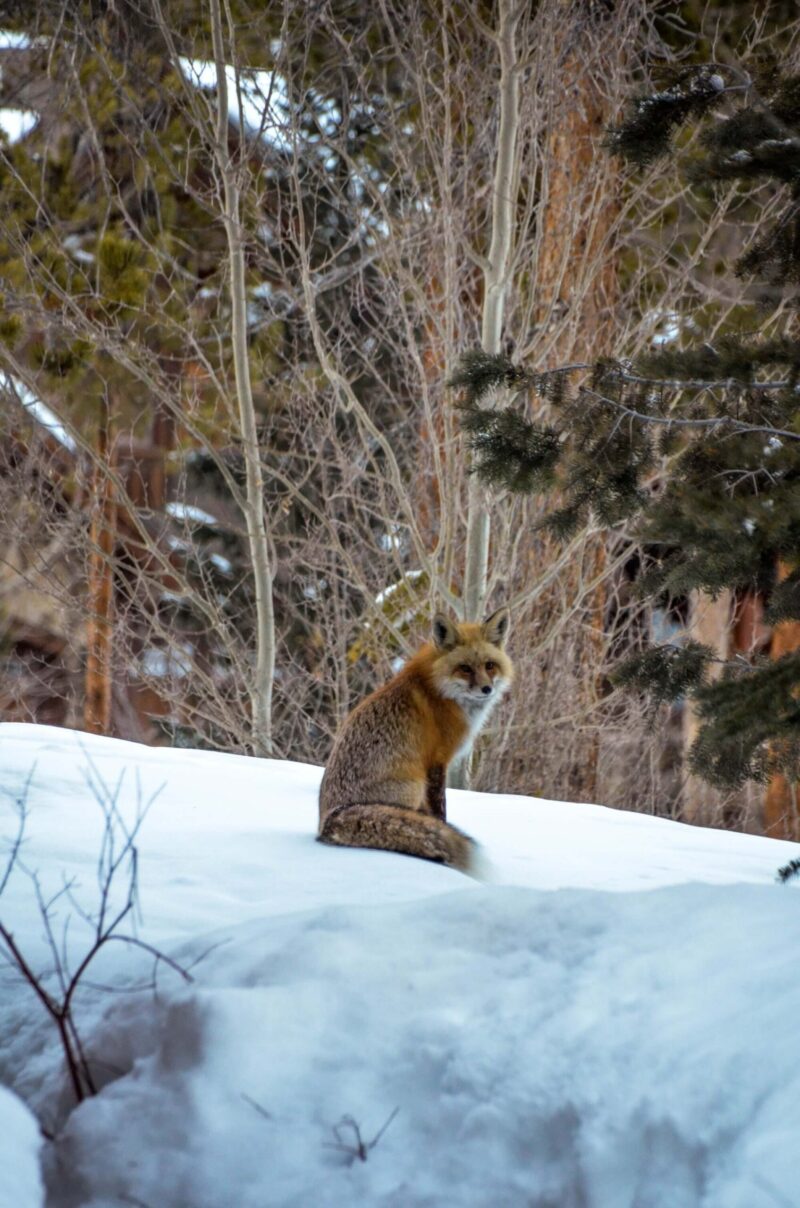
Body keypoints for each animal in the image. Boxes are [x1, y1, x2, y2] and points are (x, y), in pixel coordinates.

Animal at [318, 606, 513, 874]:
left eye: (490, 665)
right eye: (465, 668)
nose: (487, 689)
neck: (442, 691)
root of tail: (329, 818)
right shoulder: (437, 761)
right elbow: (440, 813)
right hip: (414, 786)